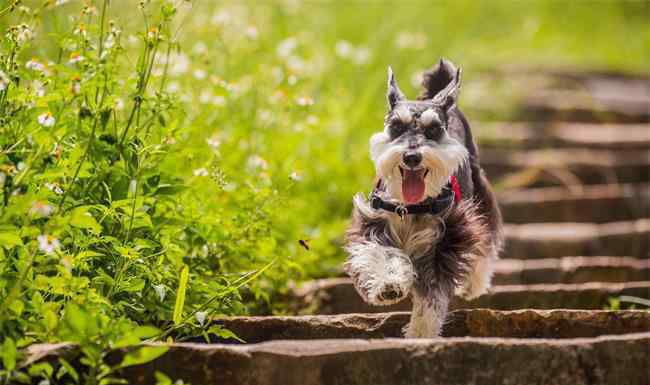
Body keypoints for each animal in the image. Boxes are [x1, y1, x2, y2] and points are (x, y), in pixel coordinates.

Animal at [344, 58, 502, 338]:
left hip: (480, 194)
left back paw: (474, 284)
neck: (410, 206)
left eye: (434, 130)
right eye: (396, 126)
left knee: (486, 237)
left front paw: (421, 333)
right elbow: (382, 254)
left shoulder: (446, 241)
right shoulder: (373, 224)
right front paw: (389, 284)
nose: (411, 157)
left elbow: (432, 296)